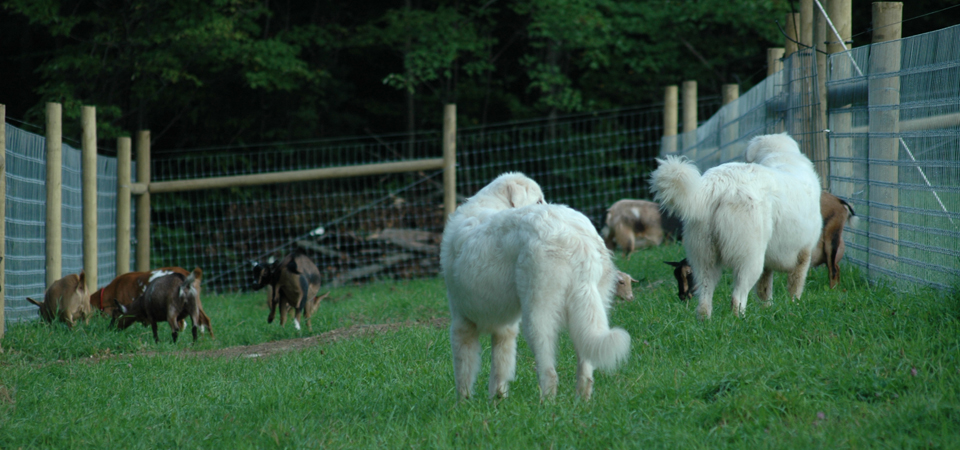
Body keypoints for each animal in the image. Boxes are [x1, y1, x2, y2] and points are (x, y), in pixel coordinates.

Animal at [440, 172, 632, 400]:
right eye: (539, 200)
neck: (491, 204)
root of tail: (576, 236)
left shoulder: (462, 324)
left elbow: (464, 374)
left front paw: (464, 405)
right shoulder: (505, 330)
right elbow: (500, 371)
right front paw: (497, 402)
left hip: (537, 315)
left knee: (549, 372)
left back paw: (546, 405)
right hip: (589, 308)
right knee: (586, 369)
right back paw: (581, 402)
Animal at [652, 134, 824, 320]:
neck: (781, 155)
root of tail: (717, 183)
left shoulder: (770, 264)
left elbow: (764, 291)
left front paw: (767, 310)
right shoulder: (803, 255)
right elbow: (794, 288)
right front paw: (794, 308)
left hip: (704, 257)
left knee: (705, 298)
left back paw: (705, 320)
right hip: (750, 258)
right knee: (737, 297)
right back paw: (740, 320)